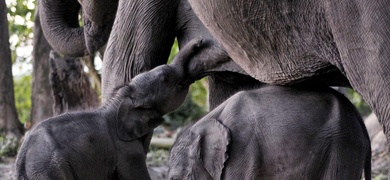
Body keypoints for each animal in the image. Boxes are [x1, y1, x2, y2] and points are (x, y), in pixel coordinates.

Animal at [15, 39, 204, 180]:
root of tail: (22, 160)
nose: (200, 42)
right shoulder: (126, 149)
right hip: (51, 170)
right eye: (165, 79)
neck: (121, 98)